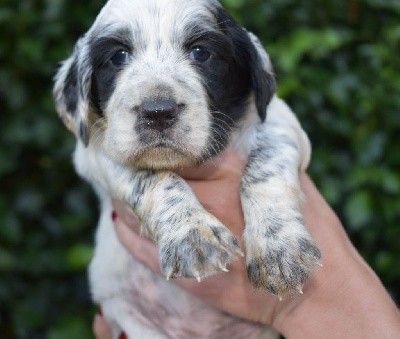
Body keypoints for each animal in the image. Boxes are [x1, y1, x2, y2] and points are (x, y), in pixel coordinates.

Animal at [54, 0, 322, 338]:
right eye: (118, 56)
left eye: (200, 52)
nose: (157, 112)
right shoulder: (96, 150)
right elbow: (154, 178)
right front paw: (191, 234)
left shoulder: (280, 120)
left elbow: (266, 165)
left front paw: (279, 248)